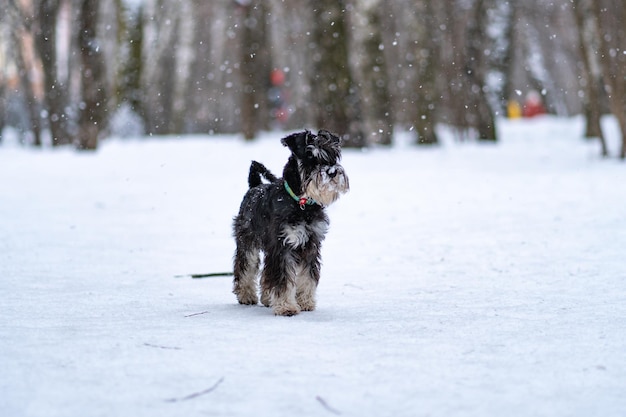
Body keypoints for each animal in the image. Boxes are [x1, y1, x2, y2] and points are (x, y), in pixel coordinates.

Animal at [232, 130, 348, 316]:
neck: (302, 203)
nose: (331, 172)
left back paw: (267, 298)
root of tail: (254, 186)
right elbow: (283, 277)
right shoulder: (282, 245)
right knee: (245, 266)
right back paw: (246, 295)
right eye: (310, 156)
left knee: (266, 273)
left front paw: (306, 302)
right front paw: (286, 306)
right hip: (247, 241)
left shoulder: (311, 245)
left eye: (333, 155)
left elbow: (308, 276)